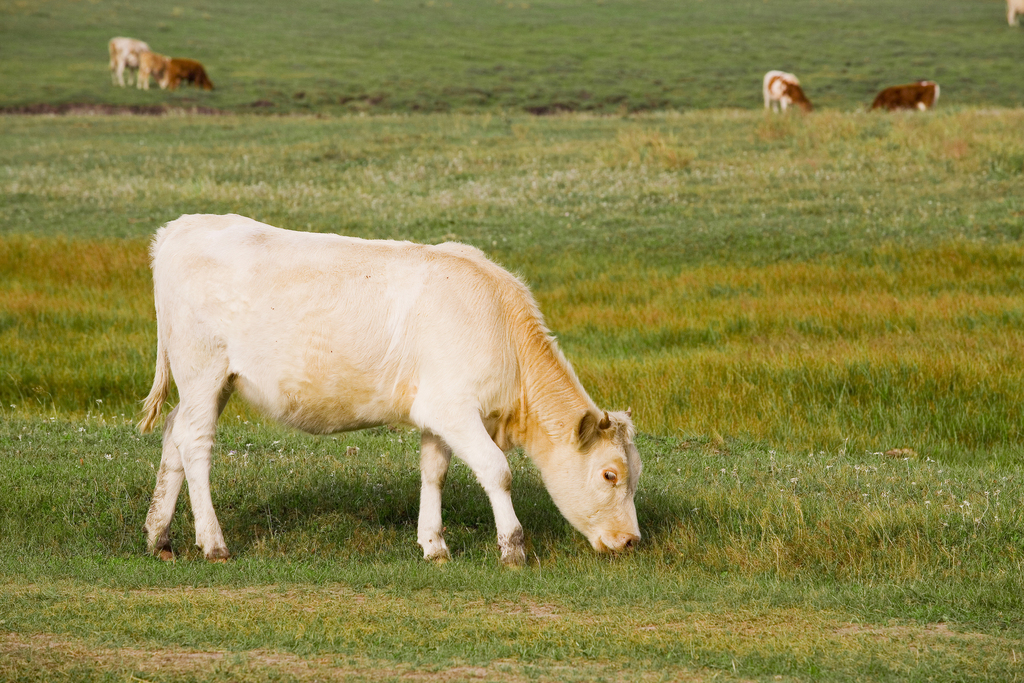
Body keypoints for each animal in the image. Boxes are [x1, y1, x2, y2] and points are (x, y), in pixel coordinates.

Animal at [140, 214, 643, 565]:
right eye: (609, 474)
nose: (631, 541)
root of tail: (180, 227)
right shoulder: (456, 408)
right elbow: (497, 471)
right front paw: (513, 549)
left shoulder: (436, 413)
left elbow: (434, 473)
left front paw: (434, 545)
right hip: (203, 370)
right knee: (195, 442)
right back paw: (213, 543)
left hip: (212, 382)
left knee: (174, 434)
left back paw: (159, 537)